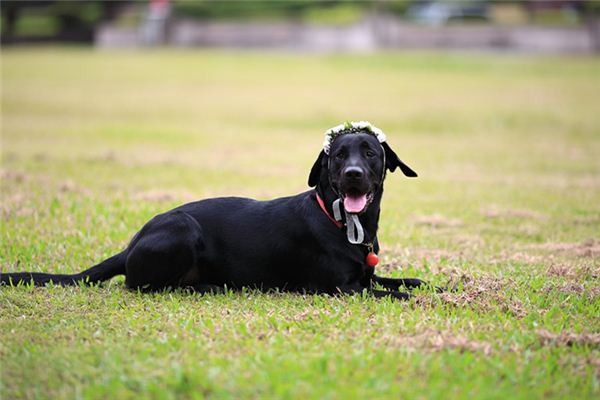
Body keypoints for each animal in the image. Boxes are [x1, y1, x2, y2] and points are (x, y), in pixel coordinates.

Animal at [0, 123, 432, 298]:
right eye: (338, 156)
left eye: (370, 153)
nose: (354, 175)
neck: (342, 222)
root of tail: (130, 246)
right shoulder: (341, 288)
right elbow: (396, 295)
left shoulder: (366, 276)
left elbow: (408, 283)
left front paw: (439, 288)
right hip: (183, 230)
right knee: (143, 285)